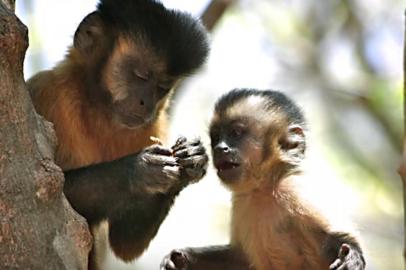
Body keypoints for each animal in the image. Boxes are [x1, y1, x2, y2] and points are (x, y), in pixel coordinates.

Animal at [26, 0, 209, 270]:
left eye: (162, 87)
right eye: (141, 75)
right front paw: (139, 168)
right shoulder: (48, 93)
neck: (99, 108)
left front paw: (191, 158)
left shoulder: (152, 125)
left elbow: (125, 244)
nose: (147, 103)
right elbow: (48, 190)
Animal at [159, 88, 364, 270]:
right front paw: (181, 258)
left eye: (235, 133)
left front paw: (351, 257)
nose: (220, 148)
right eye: (216, 138)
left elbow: (334, 240)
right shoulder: (241, 200)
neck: (265, 186)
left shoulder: (295, 189)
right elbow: (239, 259)